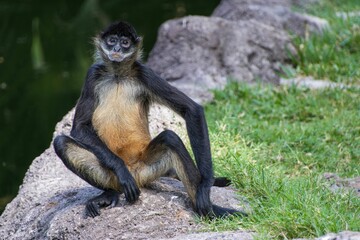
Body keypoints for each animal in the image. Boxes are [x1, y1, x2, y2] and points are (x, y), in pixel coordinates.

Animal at [52, 21, 245, 218]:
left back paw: (210, 210)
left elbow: (192, 109)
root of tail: (135, 174)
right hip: (111, 176)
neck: (118, 75)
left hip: (146, 168)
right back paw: (110, 192)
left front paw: (205, 185)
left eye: (125, 43)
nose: (116, 48)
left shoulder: (144, 73)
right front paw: (120, 168)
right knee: (61, 143)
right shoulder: (93, 74)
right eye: (112, 40)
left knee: (170, 138)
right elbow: (79, 126)